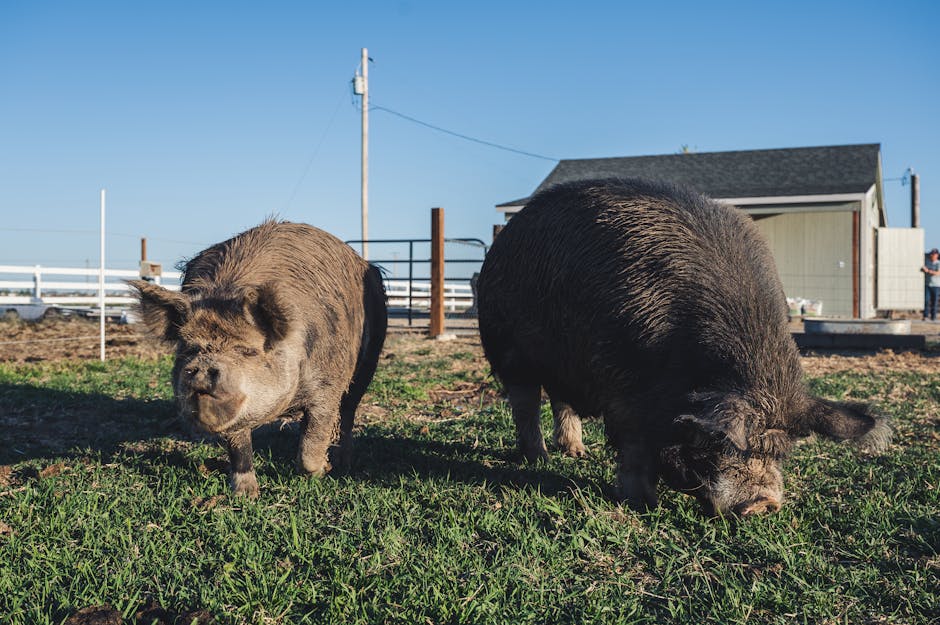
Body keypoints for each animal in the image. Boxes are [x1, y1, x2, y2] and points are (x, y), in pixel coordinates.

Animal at [129, 219, 386, 498]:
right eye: (190, 349)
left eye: (247, 350)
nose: (203, 367)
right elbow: (239, 446)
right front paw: (246, 494)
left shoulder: (326, 388)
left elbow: (313, 440)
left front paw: (321, 471)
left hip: (369, 358)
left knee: (348, 412)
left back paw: (343, 463)